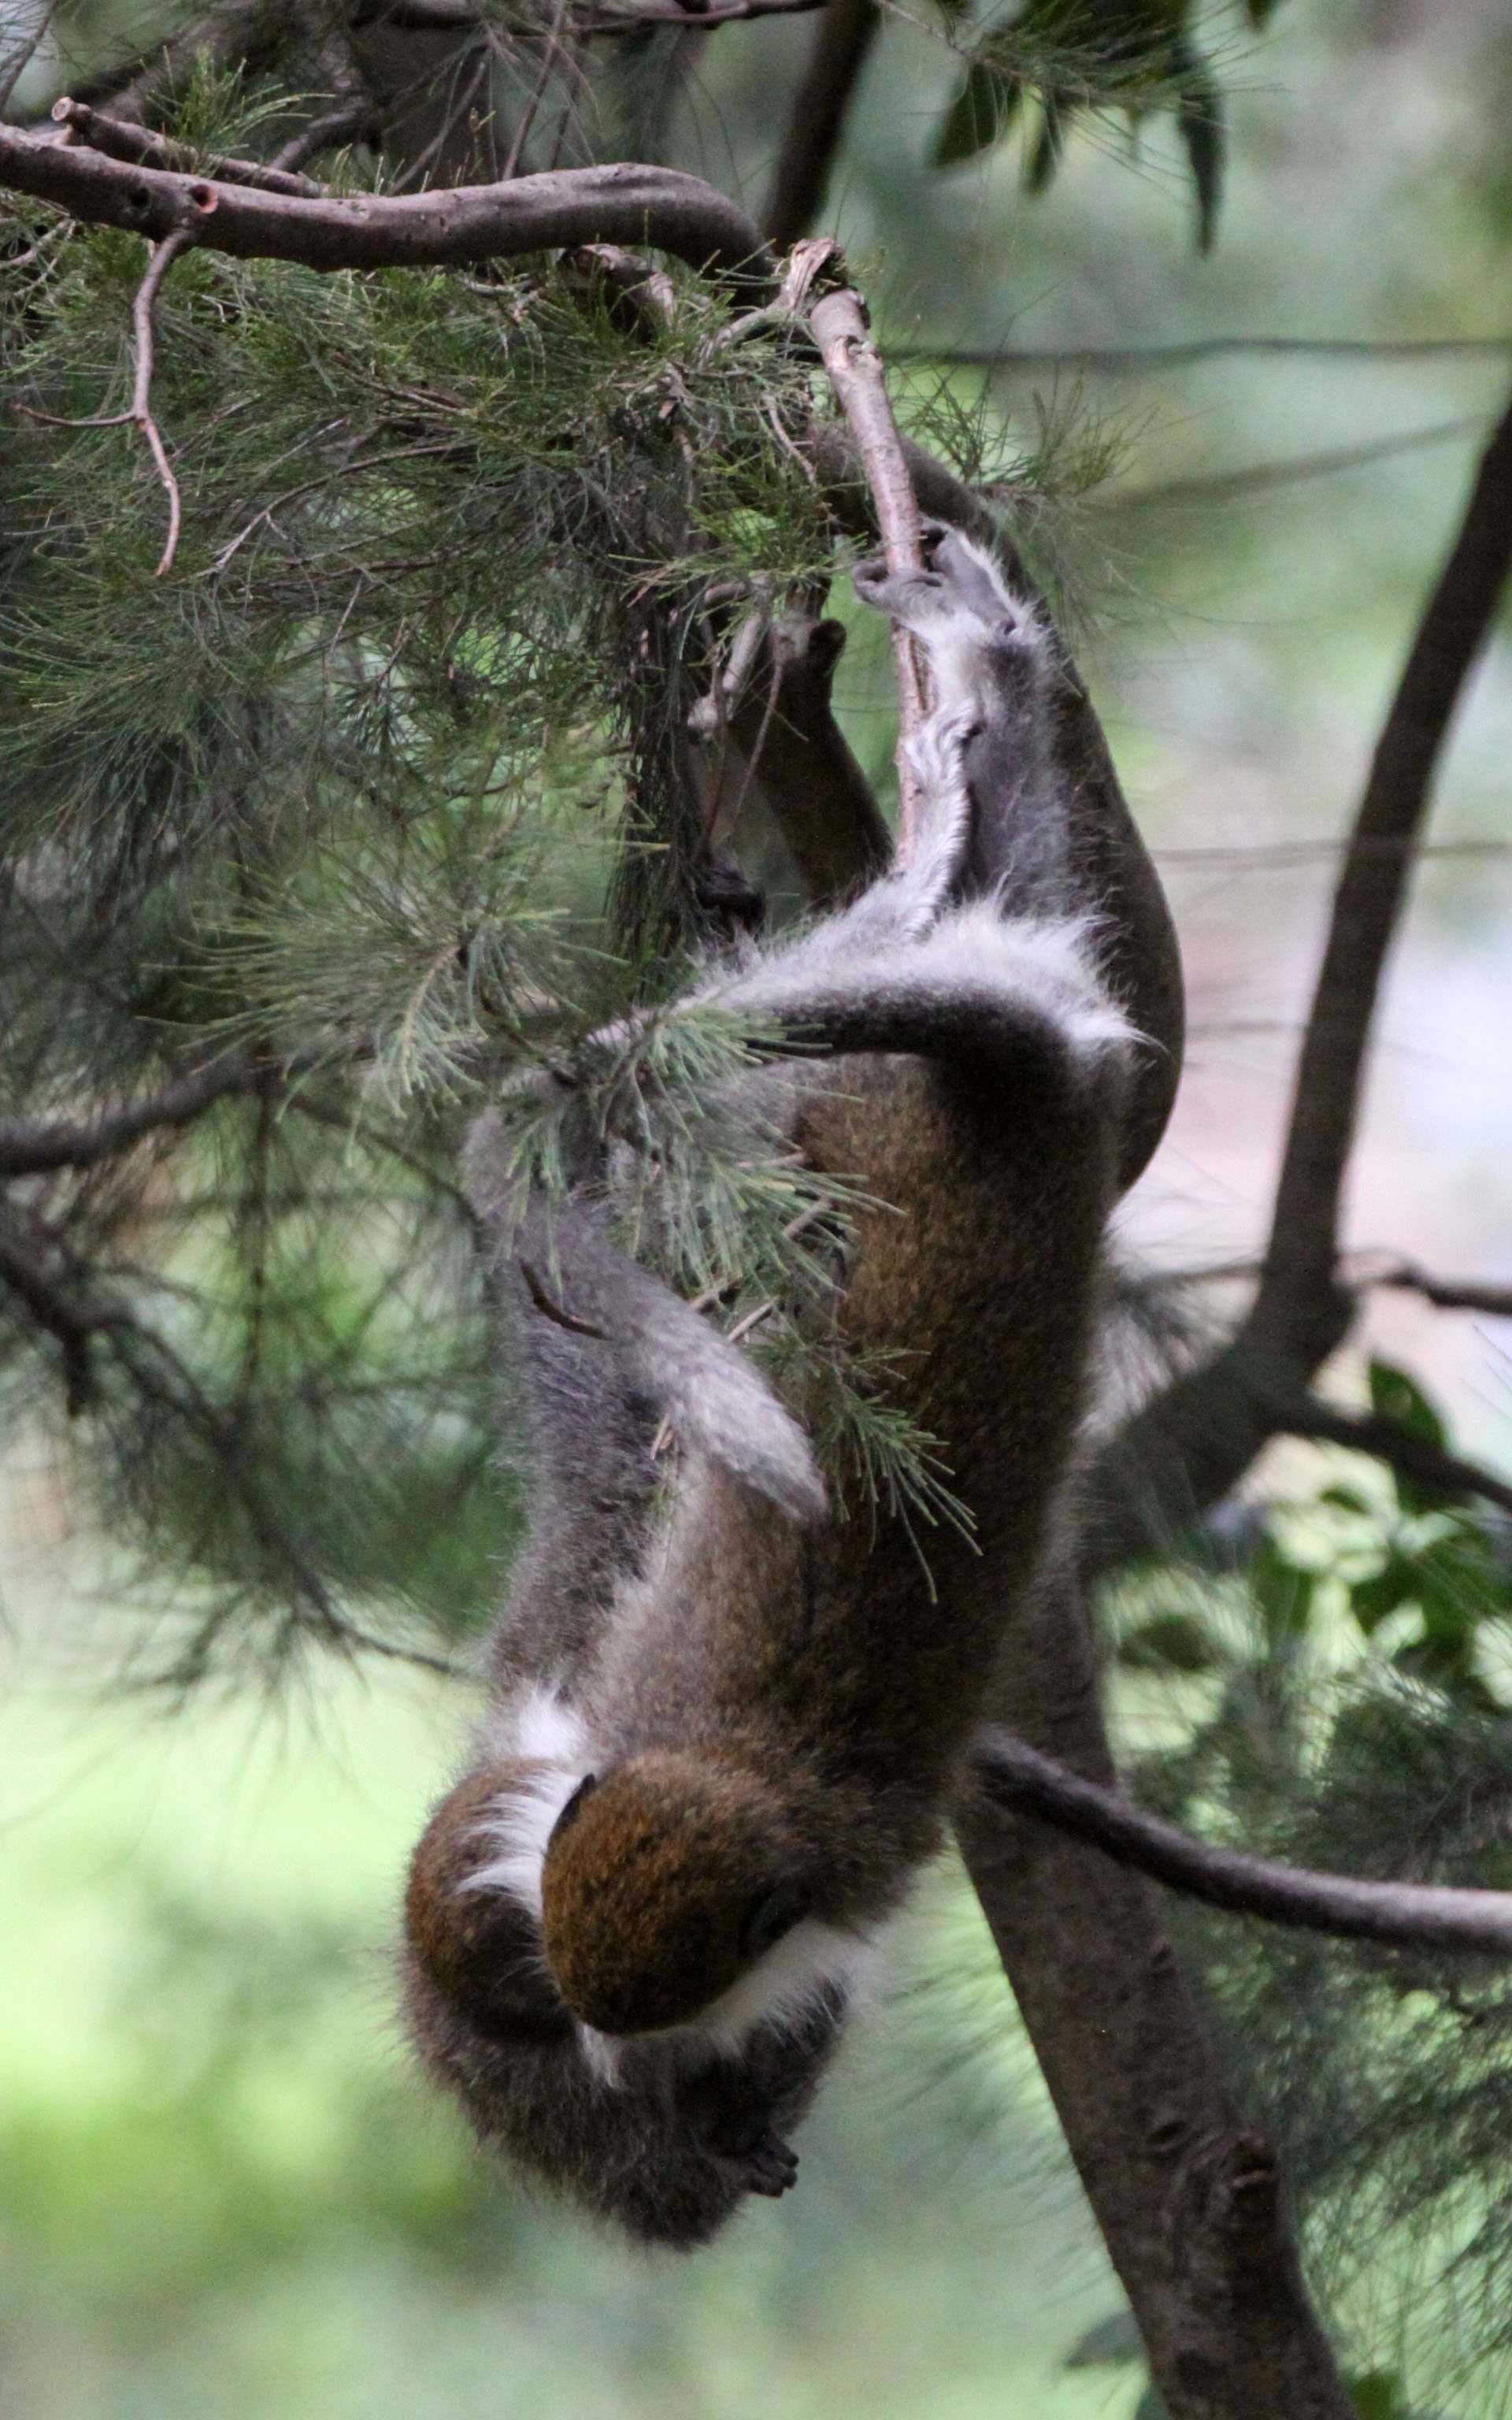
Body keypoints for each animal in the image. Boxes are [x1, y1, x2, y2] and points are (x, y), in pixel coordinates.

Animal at [402, 522, 1179, 2245]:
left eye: (642, 2023)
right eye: (592, 2023)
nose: (635, 2076)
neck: (736, 1762)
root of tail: (1023, 1106)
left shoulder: (829, 1860)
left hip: (872, 1091)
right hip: (919, 1082)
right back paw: (978, 717)